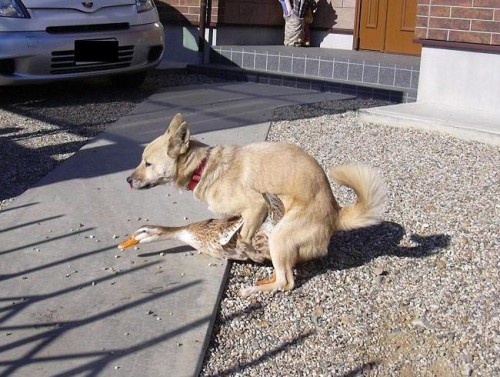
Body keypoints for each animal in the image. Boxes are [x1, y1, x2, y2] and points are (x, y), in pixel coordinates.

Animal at [125, 113, 386, 296]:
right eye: (141, 160)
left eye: (147, 163)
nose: (127, 180)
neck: (203, 166)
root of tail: (335, 211)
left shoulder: (256, 206)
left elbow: (243, 238)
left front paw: (251, 254)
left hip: (279, 236)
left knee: (286, 281)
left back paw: (254, 288)